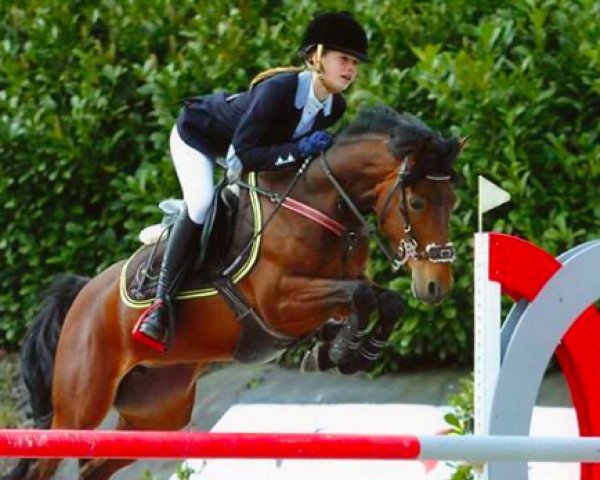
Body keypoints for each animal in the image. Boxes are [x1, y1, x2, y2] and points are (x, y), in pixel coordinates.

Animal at [7, 105, 462, 480]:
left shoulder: (334, 289)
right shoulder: (279, 303)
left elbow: (382, 300)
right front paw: (343, 351)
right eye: (417, 204)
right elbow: (363, 296)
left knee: (94, 466)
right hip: (80, 405)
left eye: (453, 201)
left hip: (157, 411)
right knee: (45, 463)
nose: (436, 286)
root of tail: (82, 294)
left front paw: (346, 353)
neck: (323, 203)